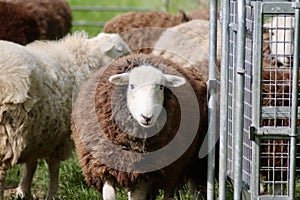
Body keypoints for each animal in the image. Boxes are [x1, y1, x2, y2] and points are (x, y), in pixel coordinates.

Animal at [0, 32, 131, 199]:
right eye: (121, 51)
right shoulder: (60, 137)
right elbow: (53, 166)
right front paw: (52, 194)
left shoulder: (37, 133)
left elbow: (31, 164)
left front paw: (24, 192)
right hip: (7, 131)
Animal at [72, 53, 209, 200]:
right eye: (131, 86)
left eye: (161, 87)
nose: (147, 117)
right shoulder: (104, 165)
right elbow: (109, 195)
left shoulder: (145, 172)